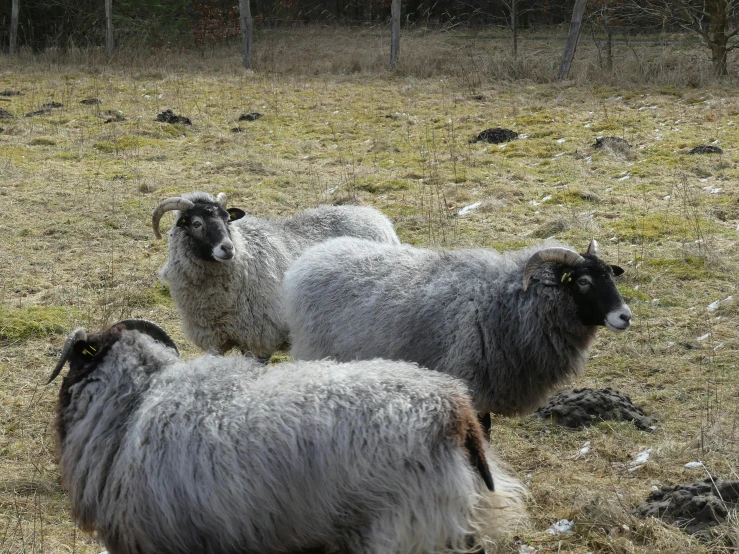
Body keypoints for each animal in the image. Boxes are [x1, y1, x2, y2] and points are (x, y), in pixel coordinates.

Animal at [151, 192, 402, 358]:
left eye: (227, 219)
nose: (228, 248)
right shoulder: (214, 342)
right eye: (196, 224)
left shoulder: (259, 339)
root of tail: (376, 217)